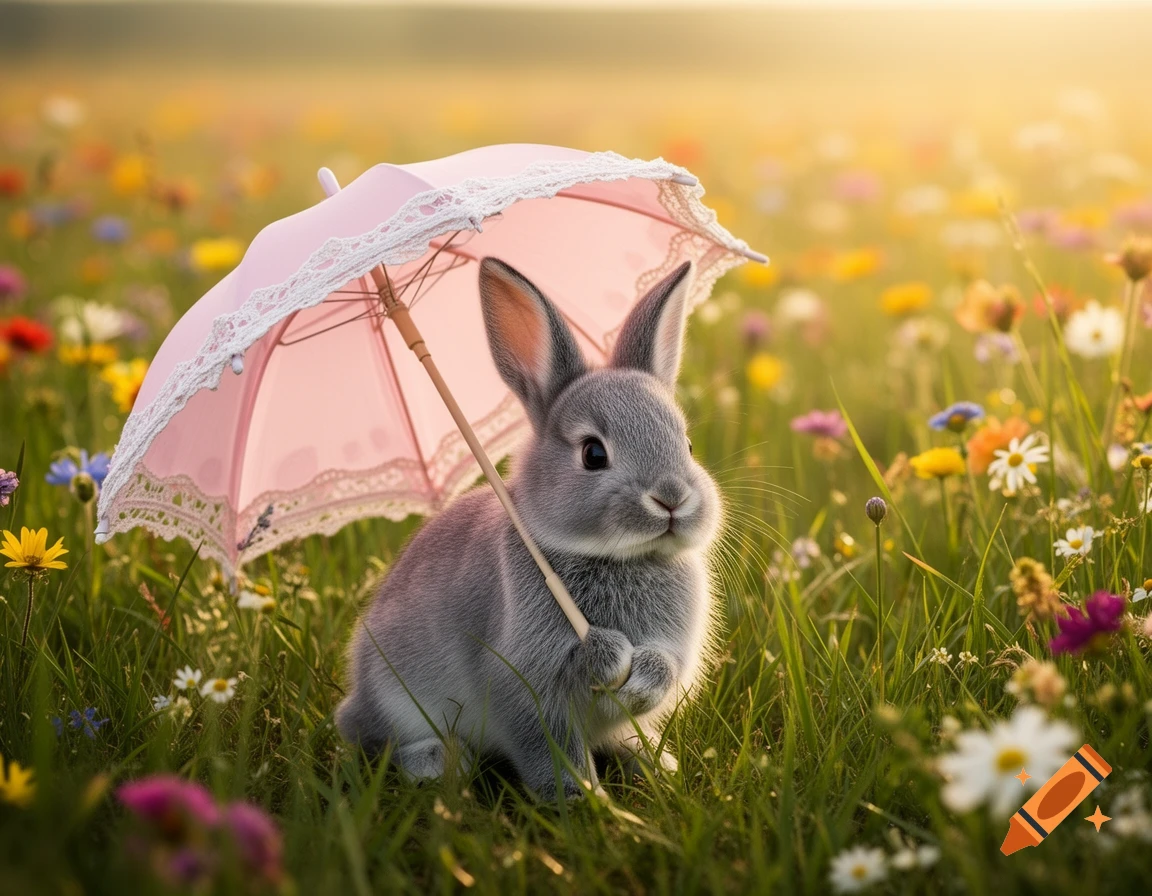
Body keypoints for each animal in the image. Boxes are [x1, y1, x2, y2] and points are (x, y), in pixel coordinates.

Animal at [335, 257, 722, 800]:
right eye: (593, 453)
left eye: (686, 444)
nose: (672, 498)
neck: (618, 556)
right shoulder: (521, 684)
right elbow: (546, 743)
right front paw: (579, 798)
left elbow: (658, 674)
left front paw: (636, 677)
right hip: (396, 697)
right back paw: (435, 763)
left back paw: (653, 760)